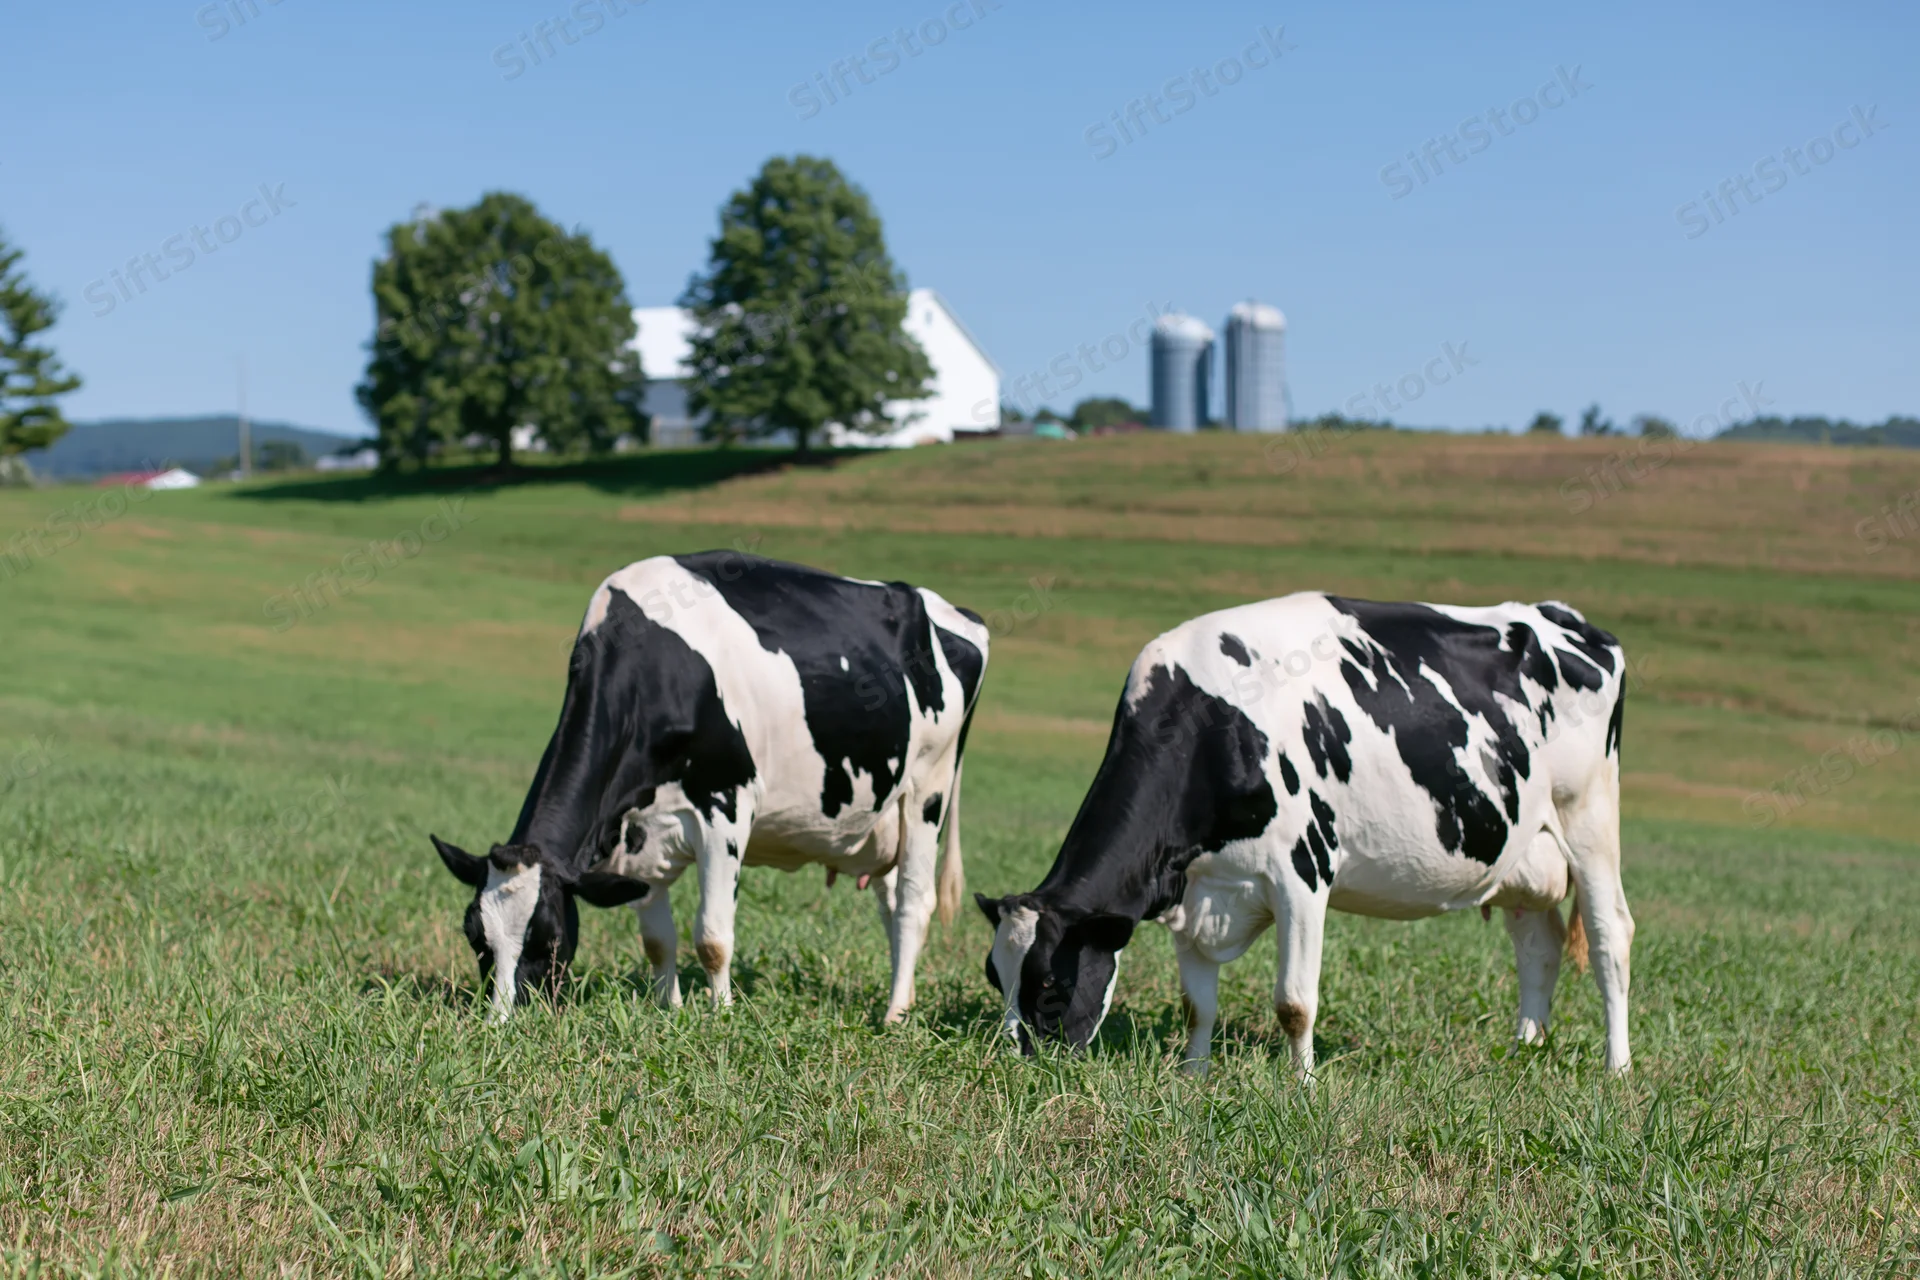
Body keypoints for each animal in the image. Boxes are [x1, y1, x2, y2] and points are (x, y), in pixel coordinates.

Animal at [432, 550, 989, 1024]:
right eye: (475, 937)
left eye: (548, 939)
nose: (502, 1020)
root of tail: (950, 611)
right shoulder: (638, 834)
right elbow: (658, 940)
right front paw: (670, 1010)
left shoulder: (727, 806)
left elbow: (712, 937)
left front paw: (720, 1018)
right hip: (883, 818)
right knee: (891, 902)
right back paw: (905, 997)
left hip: (928, 790)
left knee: (915, 903)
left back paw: (894, 1015)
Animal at [976, 593, 1634, 1075]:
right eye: (994, 975)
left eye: (1052, 987)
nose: (1015, 1061)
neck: (1214, 724)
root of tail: (1562, 616)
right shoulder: (1195, 887)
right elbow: (1196, 1005)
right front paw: (1193, 1075)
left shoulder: (1302, 872)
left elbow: (1294, 1003)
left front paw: (1303, 1085)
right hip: (1523, 854)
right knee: (1540, 946)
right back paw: (1524, 1049)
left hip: (1589, 817)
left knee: (1610, 937)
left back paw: (1617, 1067)